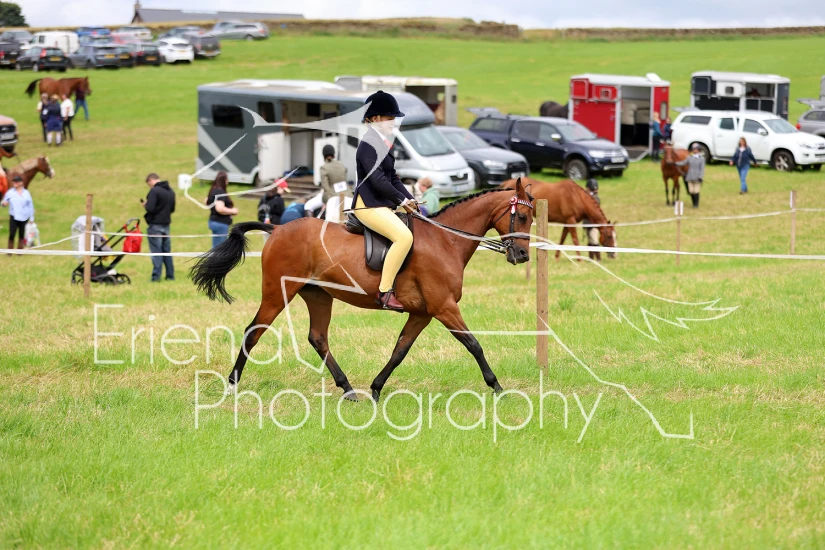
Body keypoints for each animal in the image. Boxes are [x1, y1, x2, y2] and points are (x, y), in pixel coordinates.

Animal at [190, 180, 535, 402]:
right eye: (521, 215)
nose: (522, 255)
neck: (444, 241)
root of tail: (276, 228)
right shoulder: (443, 306)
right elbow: (474, 344)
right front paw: (498, 388)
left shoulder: (422, 313)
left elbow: (399, 351)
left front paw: (376, 388)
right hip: (277, 293)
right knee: (254, 331)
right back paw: (232, 387)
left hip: (318, 295)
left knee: (318, 338)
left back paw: (348, 389)